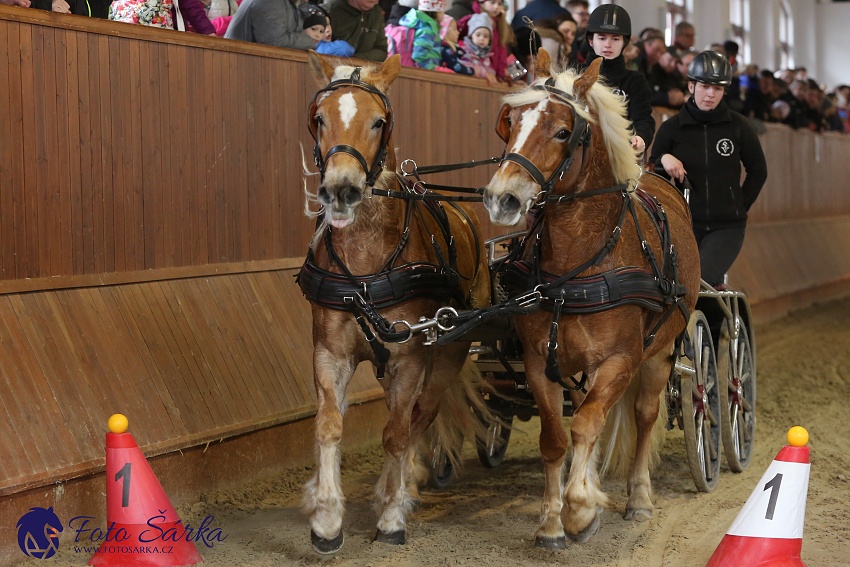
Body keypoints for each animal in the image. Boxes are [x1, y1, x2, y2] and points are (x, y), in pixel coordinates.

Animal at [296, 53, 486, 556]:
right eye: (319, 118)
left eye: (378, 121)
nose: (341, 190)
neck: (366, 264)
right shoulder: (330, 354)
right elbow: (328, 426)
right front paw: (326, 519)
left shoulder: (410, 358)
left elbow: (397, 433)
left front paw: (391, 516)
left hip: (446, 358)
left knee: (419, 418)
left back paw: (396, 493)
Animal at [480, 54, 700, 552]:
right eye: (511, 123)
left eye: (563, 132)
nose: (502, 198)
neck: (576, 264)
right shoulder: (540, 362)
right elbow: (557, 437)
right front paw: (552, 521)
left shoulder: (620, 359)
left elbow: (584, 426)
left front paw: (580, 510)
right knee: (588, 413)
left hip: (660, 353)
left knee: (642, 416)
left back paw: (638, 499)